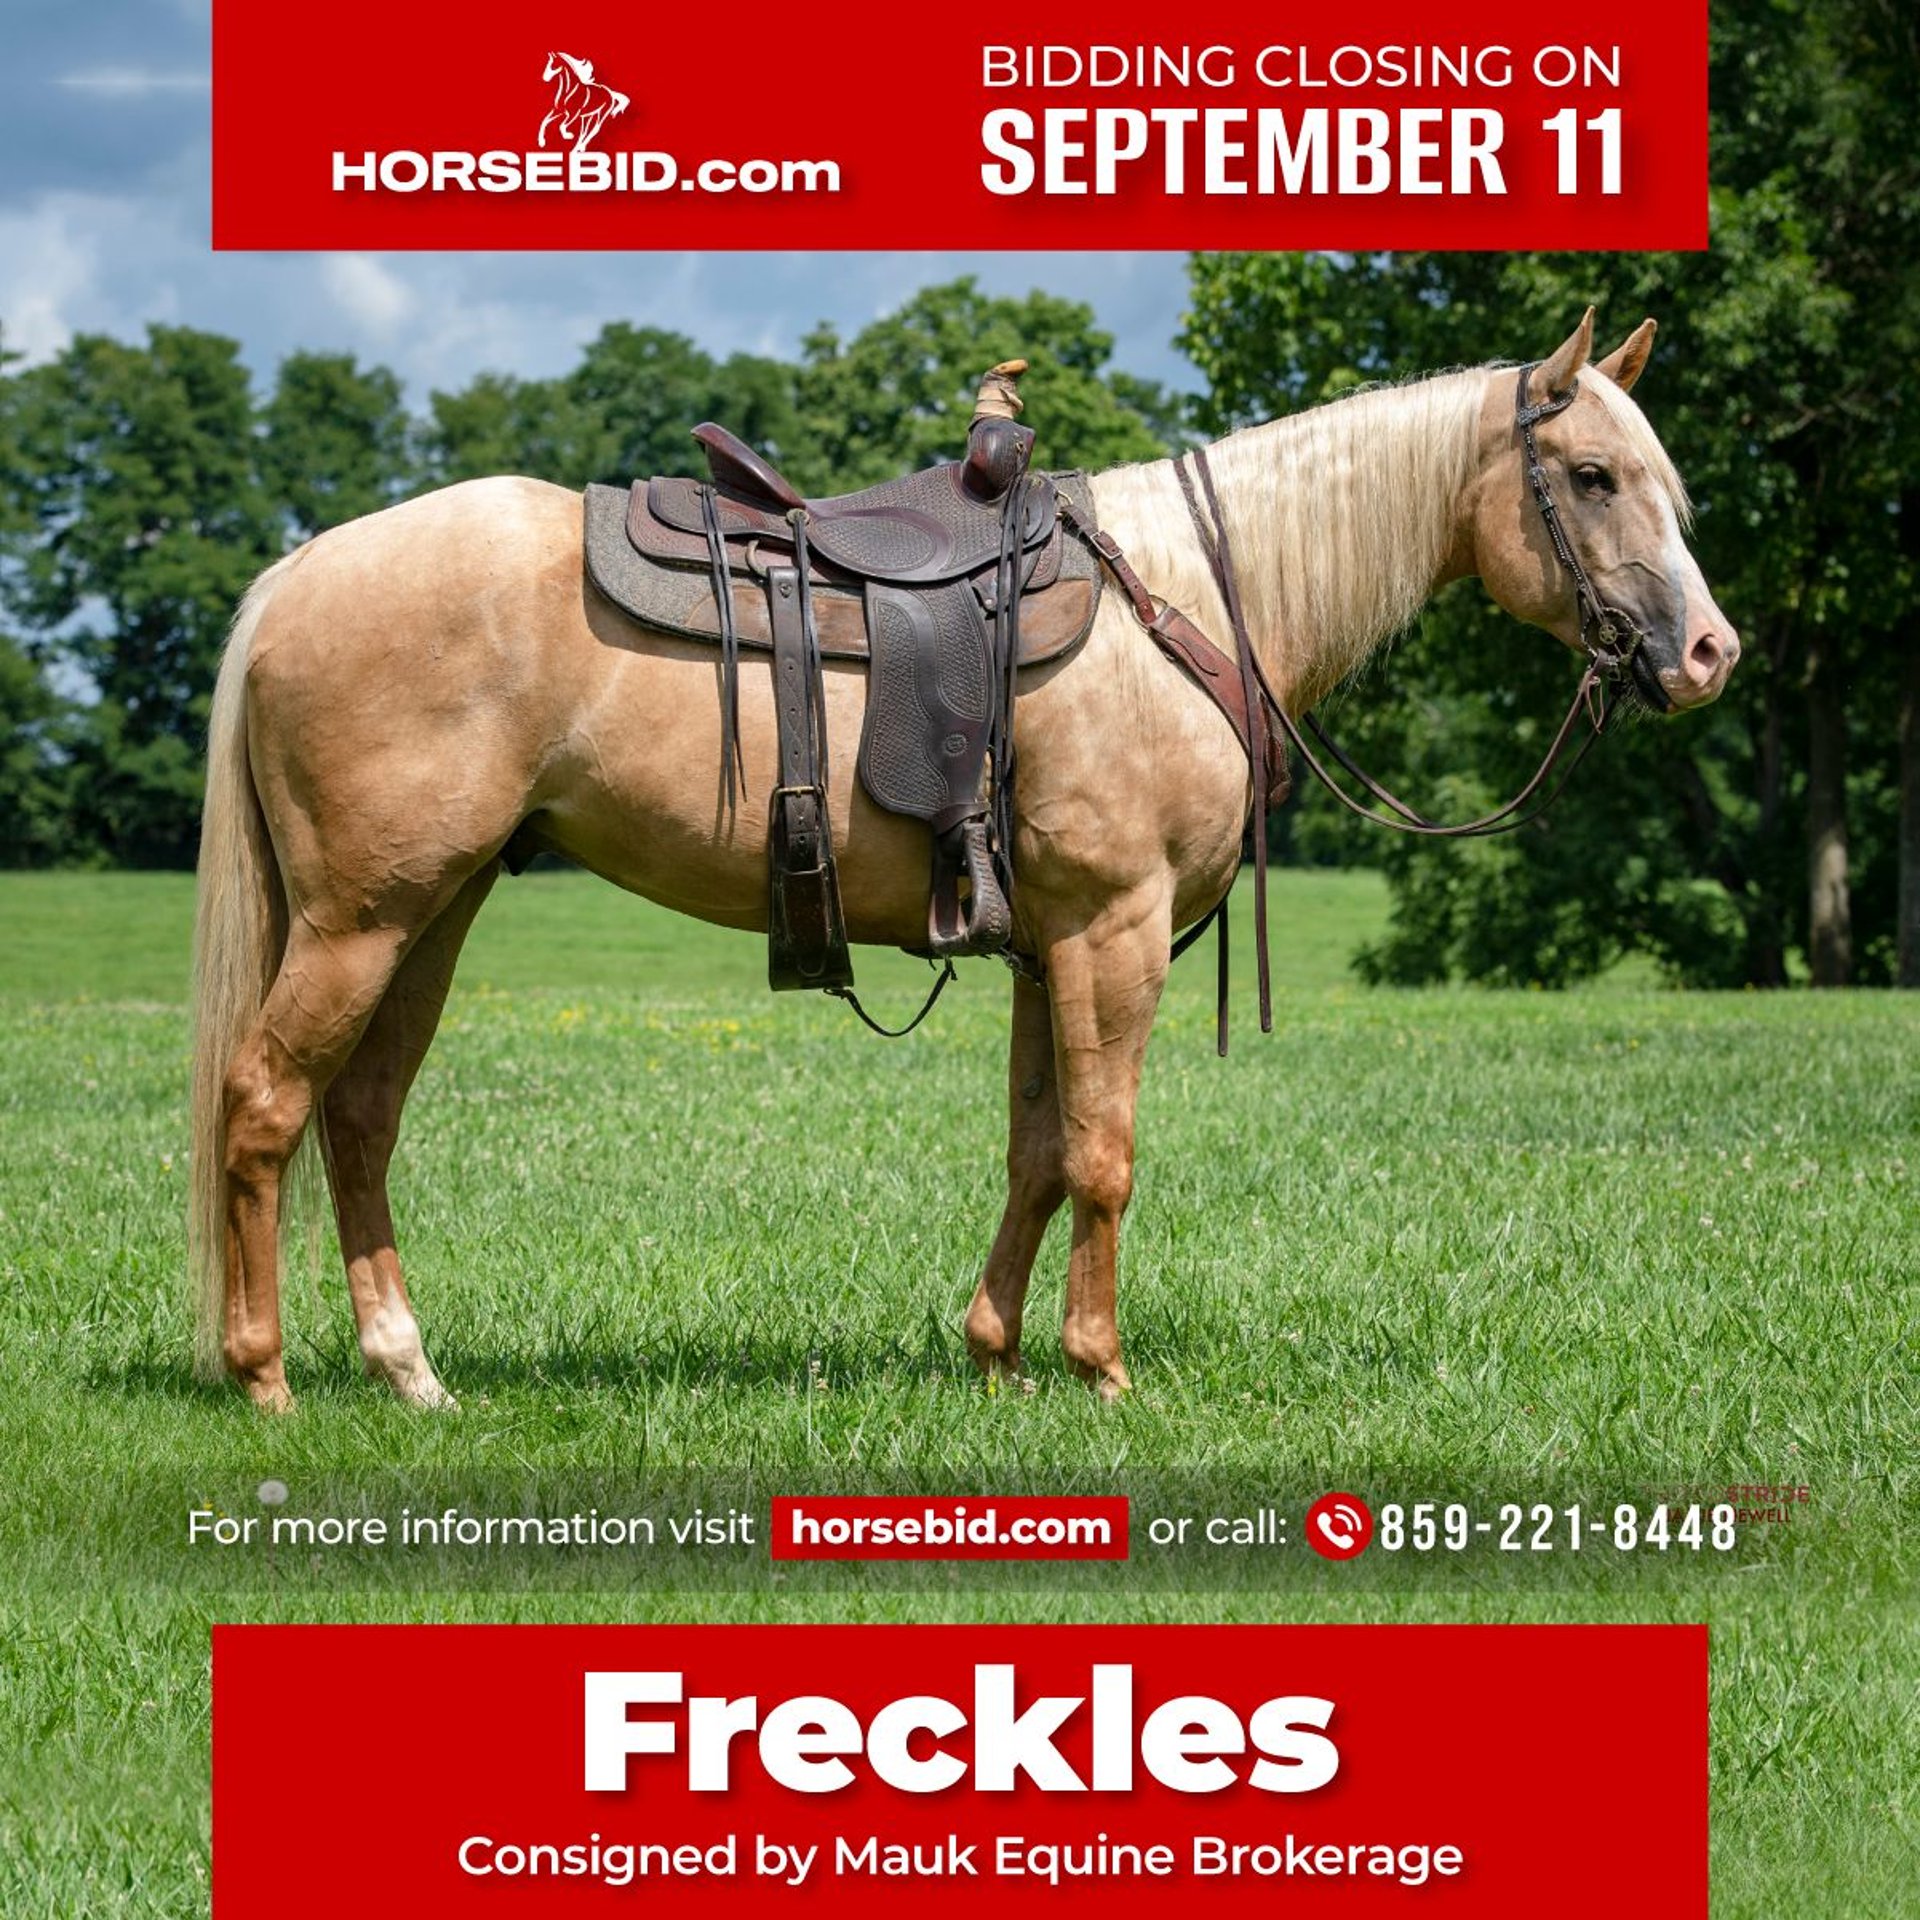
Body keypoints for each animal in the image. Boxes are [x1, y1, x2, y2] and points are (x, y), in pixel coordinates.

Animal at [188, 311, 1739, 1412]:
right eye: (1592, 477)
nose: (1710, 655)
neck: (1190, 596)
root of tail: (298, 572)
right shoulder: (1112, 931)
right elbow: (1105, 1155)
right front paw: (1101, 1367)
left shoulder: (1049, 948)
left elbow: (1038, 1152)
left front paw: (995, 1354)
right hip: (361, 917)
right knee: (264, 1105)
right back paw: (264, 1378)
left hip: (430, 911)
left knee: (359, 1117)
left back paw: (409, 1373)